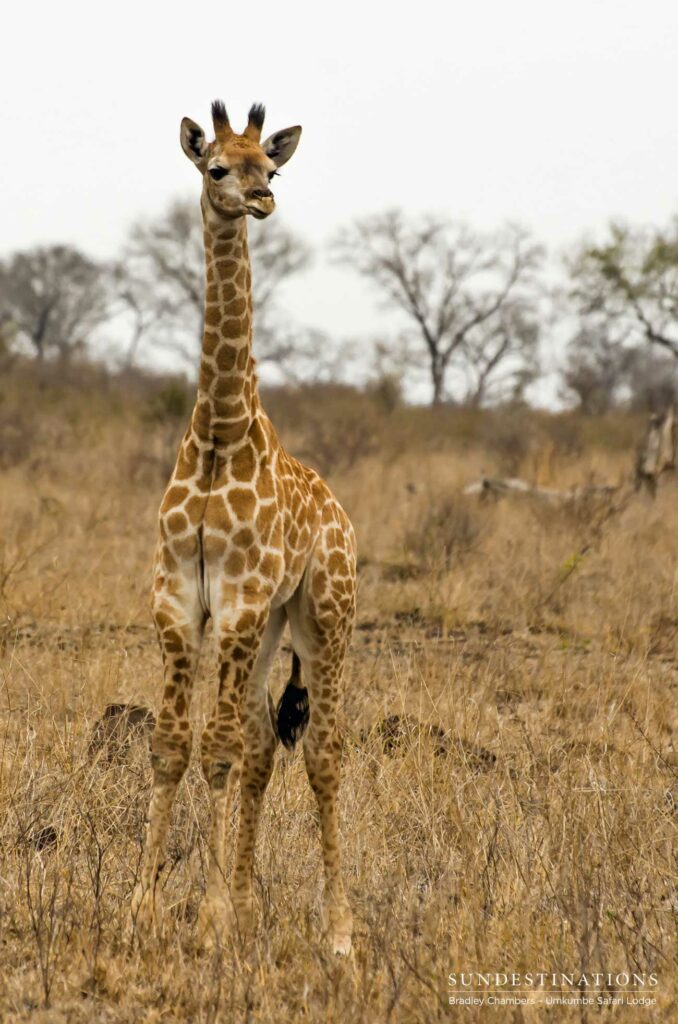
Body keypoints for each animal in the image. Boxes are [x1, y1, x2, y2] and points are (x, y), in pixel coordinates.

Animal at [130, 100, 357, 956]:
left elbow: (216, 752)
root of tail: (339, 512)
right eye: (216, 166)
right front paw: (145, 906)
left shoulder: (234, 604)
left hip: (322, 616)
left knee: (322, 754)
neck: (221, 434)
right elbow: (173, 745)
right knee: (264, 751)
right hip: (271, 629)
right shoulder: (178, 602)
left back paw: (338, 931)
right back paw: (252, 901)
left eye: (272, 164)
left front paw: (210, 917)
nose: (261, 200)